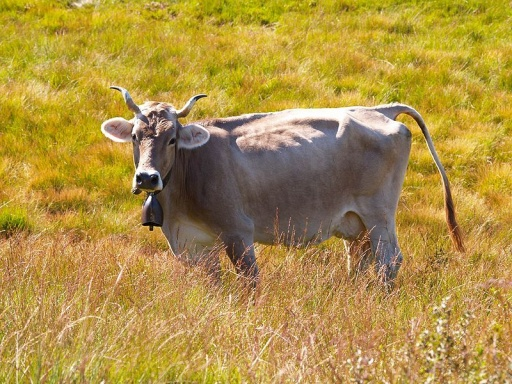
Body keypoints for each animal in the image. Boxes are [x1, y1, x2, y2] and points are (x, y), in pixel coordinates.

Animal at [101, 85, 464, 286]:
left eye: (173, 139)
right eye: (135, 137)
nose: (147, 177)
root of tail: (380, 109)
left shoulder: (237, 233)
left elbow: (248, 283)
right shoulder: (191, 244)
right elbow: (212, 285)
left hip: (379, 214)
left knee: (389, 261)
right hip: (356, 221)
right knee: (361, 260)